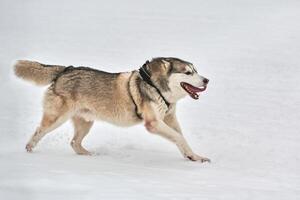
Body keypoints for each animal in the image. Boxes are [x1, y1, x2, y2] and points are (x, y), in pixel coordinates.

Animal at [14, 57, 211, 162]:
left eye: (196, 70)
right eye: (188, 73)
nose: (207, 80)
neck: (157, 87)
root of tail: (65, 70)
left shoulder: (169, 118)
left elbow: (181, 139)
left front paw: (194, 157)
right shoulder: (153, 123)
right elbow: (178, 137)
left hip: (86, 122)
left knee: (74, 143)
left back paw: (89, 155)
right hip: (56, 118)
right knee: (39, 131)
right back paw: (29, 149)